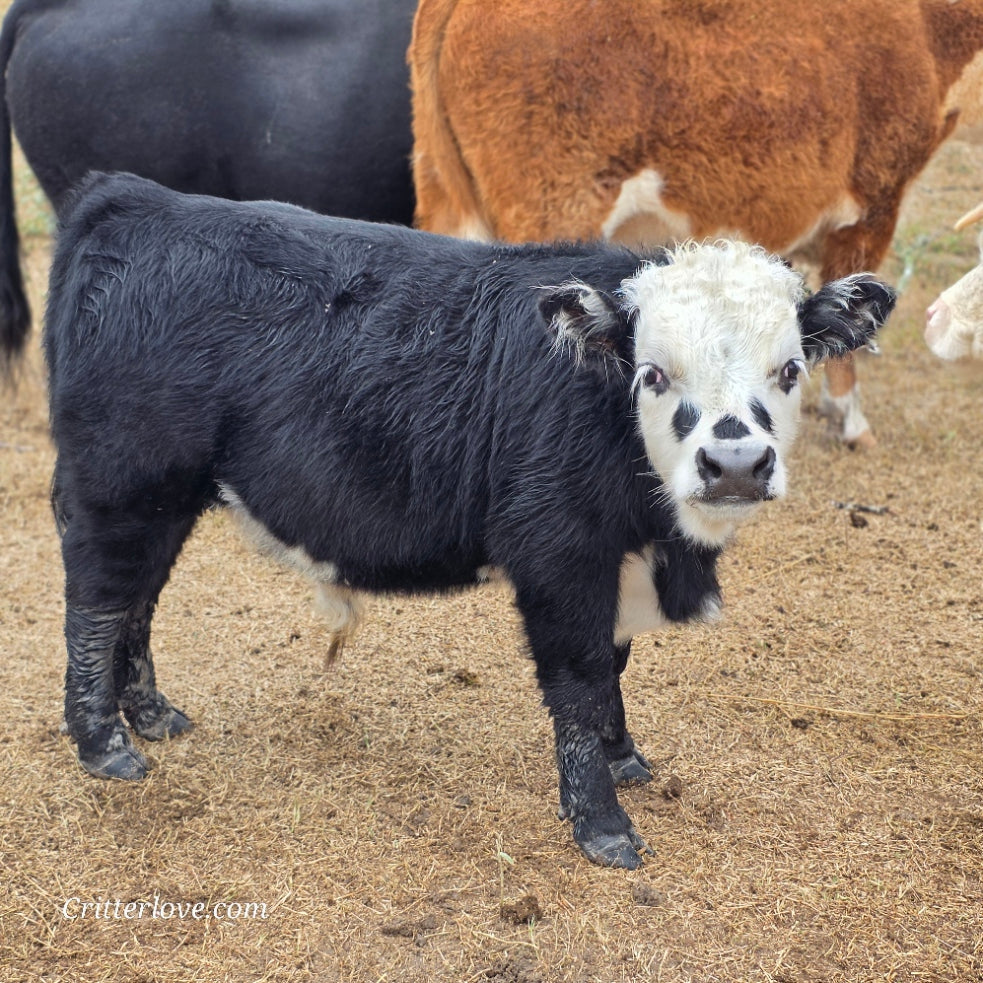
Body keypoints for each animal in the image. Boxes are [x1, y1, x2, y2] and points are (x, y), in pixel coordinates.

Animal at [44, 172, 894, 868]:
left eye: (789, 368)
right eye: (652, 372)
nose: (736, 463)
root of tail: (134, 199)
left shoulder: (609, 561)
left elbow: (613, 665)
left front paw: (623, 756)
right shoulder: (558, 558)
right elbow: (579, 680)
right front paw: (601, 824)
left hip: (164, 501)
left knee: (137, 602)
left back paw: (151, 714)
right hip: (118, 488)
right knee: (97, 606)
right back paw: (103, 743)